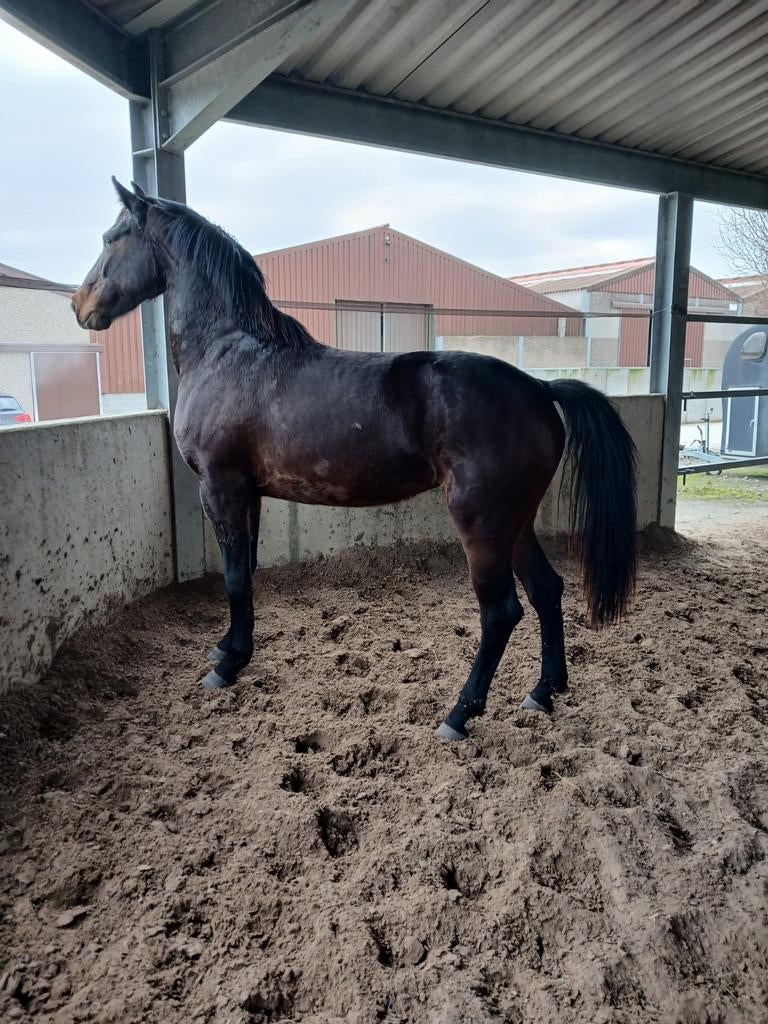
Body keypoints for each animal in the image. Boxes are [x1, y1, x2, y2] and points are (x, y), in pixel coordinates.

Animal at [72, 178, 636, 742]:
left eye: (110, 238)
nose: (80, 306)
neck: (228, 353)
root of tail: (539, 388)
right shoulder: (248, 494)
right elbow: (246, 574)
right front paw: (232, 649)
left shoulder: (221, 487)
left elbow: (233, 578)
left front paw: (226, 667)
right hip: (516, 524)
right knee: (546, 590)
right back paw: (543, 692)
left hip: (482, 525)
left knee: (500, 612)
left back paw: (459, 714)